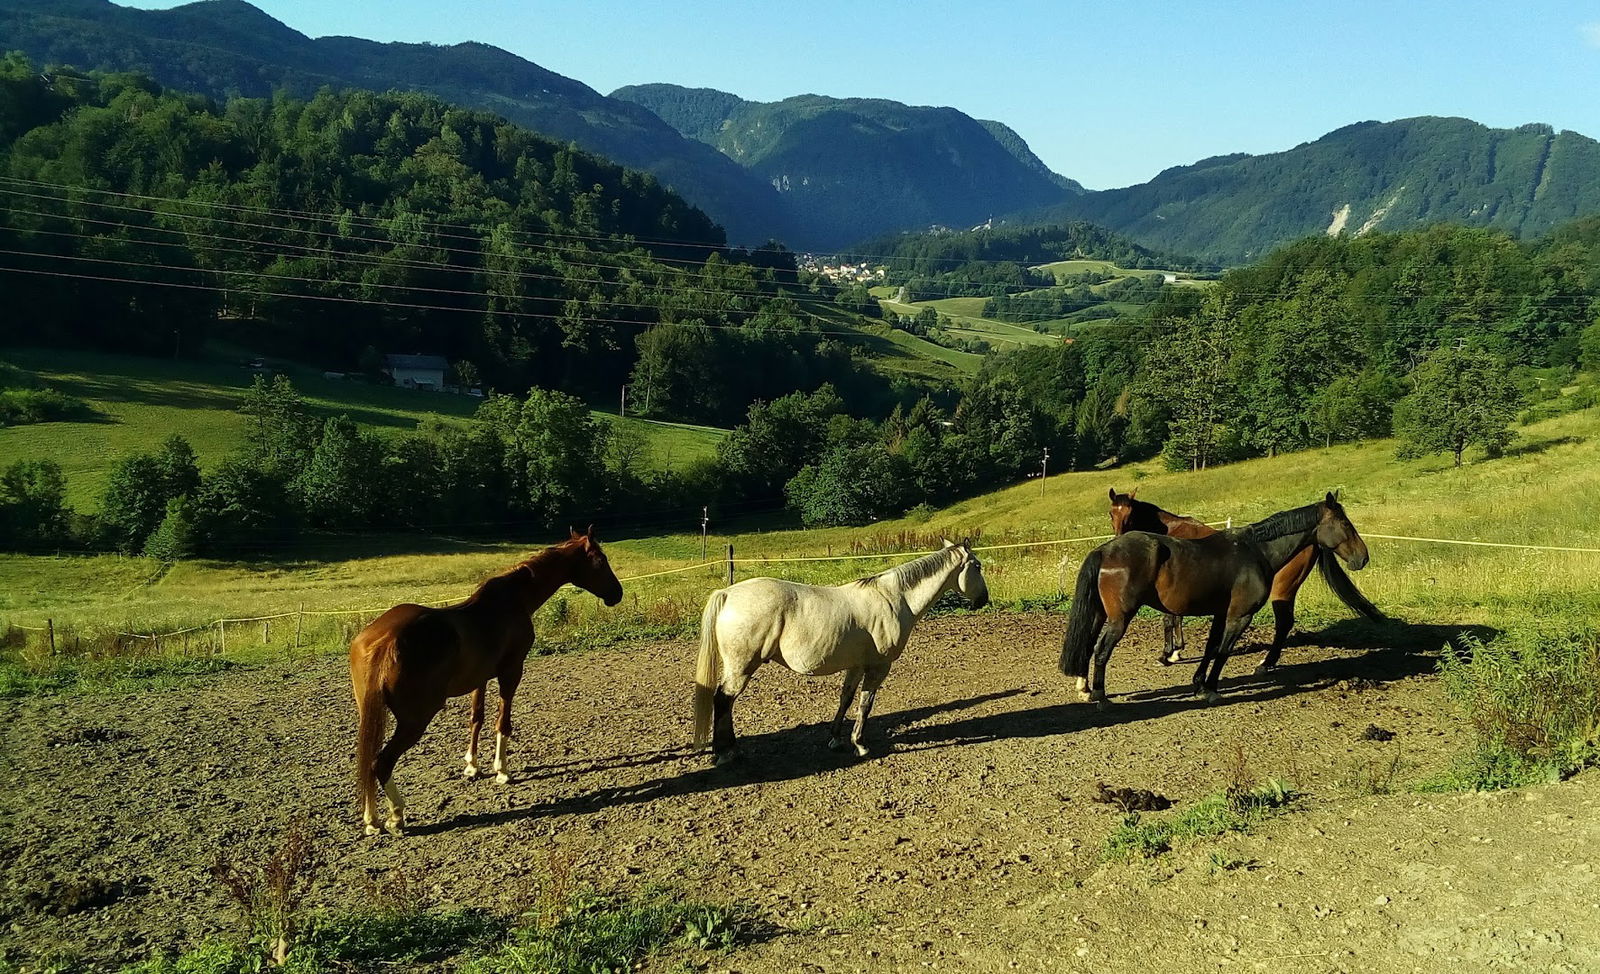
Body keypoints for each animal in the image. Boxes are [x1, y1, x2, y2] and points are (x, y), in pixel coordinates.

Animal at [691, 540, 985, 761]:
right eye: (978, 566)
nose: (984, 600)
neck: (893, 598)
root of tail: (728, 593)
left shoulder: (856, 666)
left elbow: (846, 698)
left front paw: (835, 738)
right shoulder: (879, 667)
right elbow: (866, 703)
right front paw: (860, 744)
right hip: (741, 668)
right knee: (723, 700)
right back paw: (726, 753)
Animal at [1062, 498, 1376, 703]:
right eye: (1344, 523)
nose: (1363, 558)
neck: (1255, 551)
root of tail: (1106, 549)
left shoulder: (1219, 613)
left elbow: (1211, 648)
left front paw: (1199, 684)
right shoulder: (1239, 616)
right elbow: (1223, 651)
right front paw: (1210, 688)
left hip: (1101, 614)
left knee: (1088, 644)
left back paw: (1085, 688)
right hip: (1118, 619)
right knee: (1100, 649)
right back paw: (1100, 696)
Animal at [1107, 483, 1382, 668]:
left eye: (1129, 514)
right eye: (1112, 513)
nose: (1118, 537)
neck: (1172, 532)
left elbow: (1169, 619)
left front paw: (1168, 654)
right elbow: (1175, 618)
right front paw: (1176, 650)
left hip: (1282, 591)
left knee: (1284, 623)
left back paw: (1266, 663)